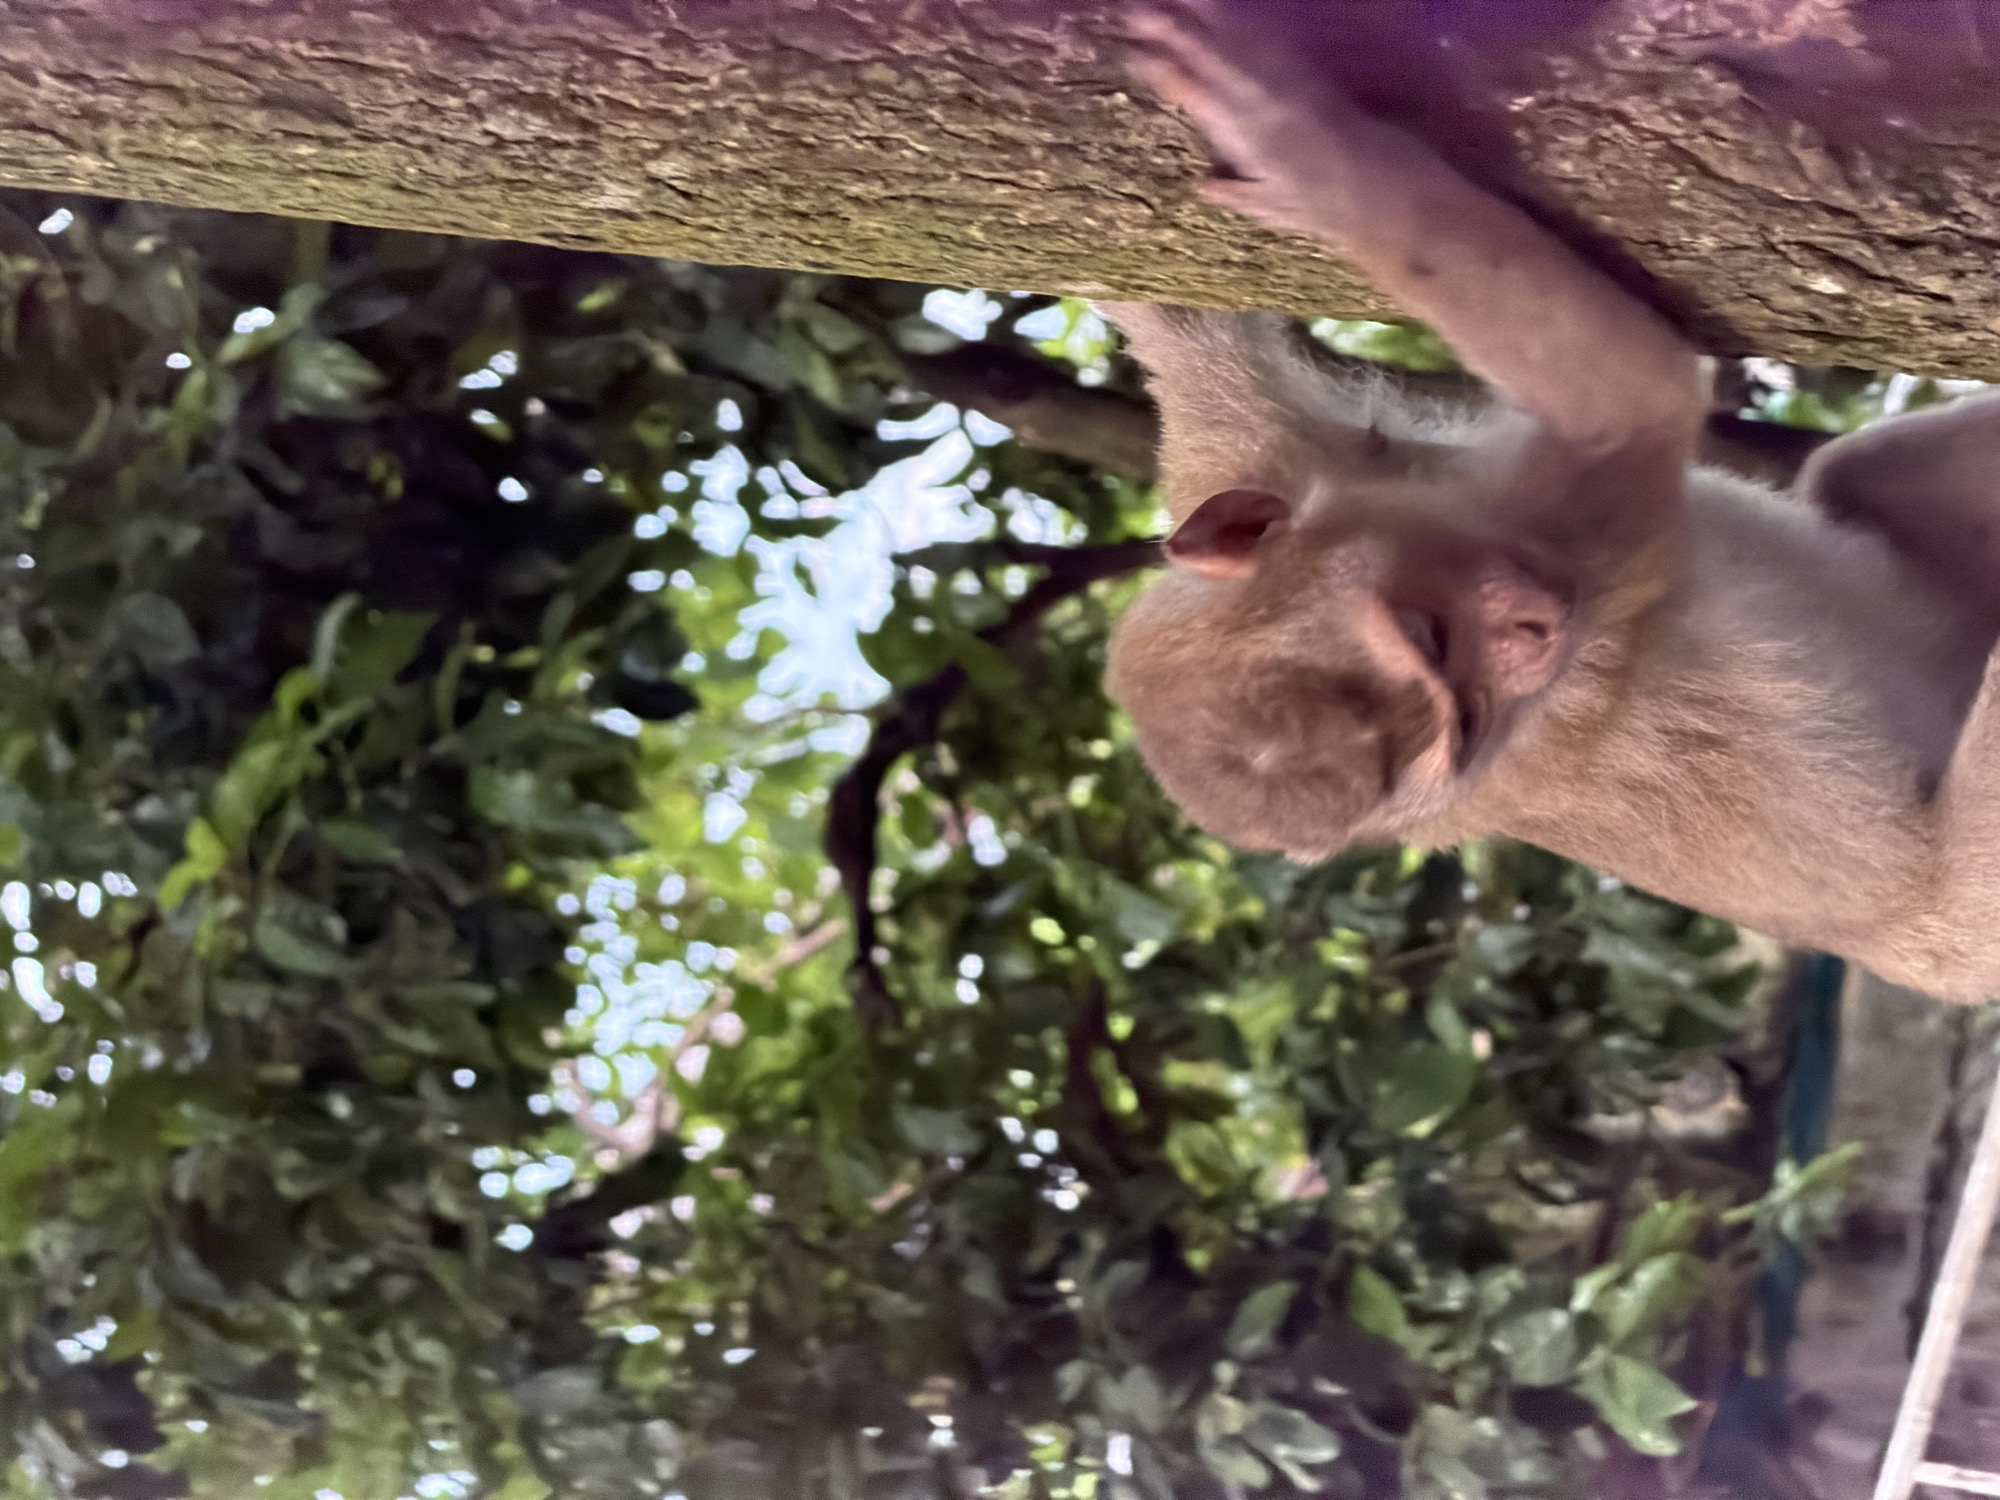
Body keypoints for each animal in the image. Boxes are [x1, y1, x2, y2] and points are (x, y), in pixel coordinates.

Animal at [1102, 0, 2000, 1003]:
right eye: (1458, 718)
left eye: (1426, 643)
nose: (1535, 632)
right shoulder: (1581, 537)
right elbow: (1637, 389)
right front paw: (1311, 150)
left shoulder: (1250, 457)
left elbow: (1180, 340)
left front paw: (1282, 156)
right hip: (1978, 908)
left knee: (1863, 476)